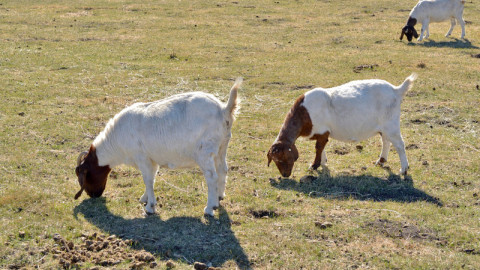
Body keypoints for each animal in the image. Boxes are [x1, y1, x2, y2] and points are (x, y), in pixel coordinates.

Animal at [75, 77, 244, 215]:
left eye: (84, 175)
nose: (93, 195)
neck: (117, 139)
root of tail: (223, 109)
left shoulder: (142, 157)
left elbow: (147, 179)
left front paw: (150, 207)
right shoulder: (152, 159)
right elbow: (152, 177)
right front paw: (145, 198)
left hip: (205, 152)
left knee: (211, 176)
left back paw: (209, 208)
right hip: (222, 147)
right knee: (223, 170)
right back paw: (219, 197)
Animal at [266, 75, 416, 178]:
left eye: (282, 158)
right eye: (274, 160)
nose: (285, 175)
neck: (304, 113)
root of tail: (396, 90)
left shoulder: (322, 130)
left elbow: (319, 147)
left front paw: (314, 166)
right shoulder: (320, 133)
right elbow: (321, 147)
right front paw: (323, 162)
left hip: (391, 123)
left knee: (399, 144)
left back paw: (404, 169)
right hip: (383, 126)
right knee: (386, 141)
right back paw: (380, 161)